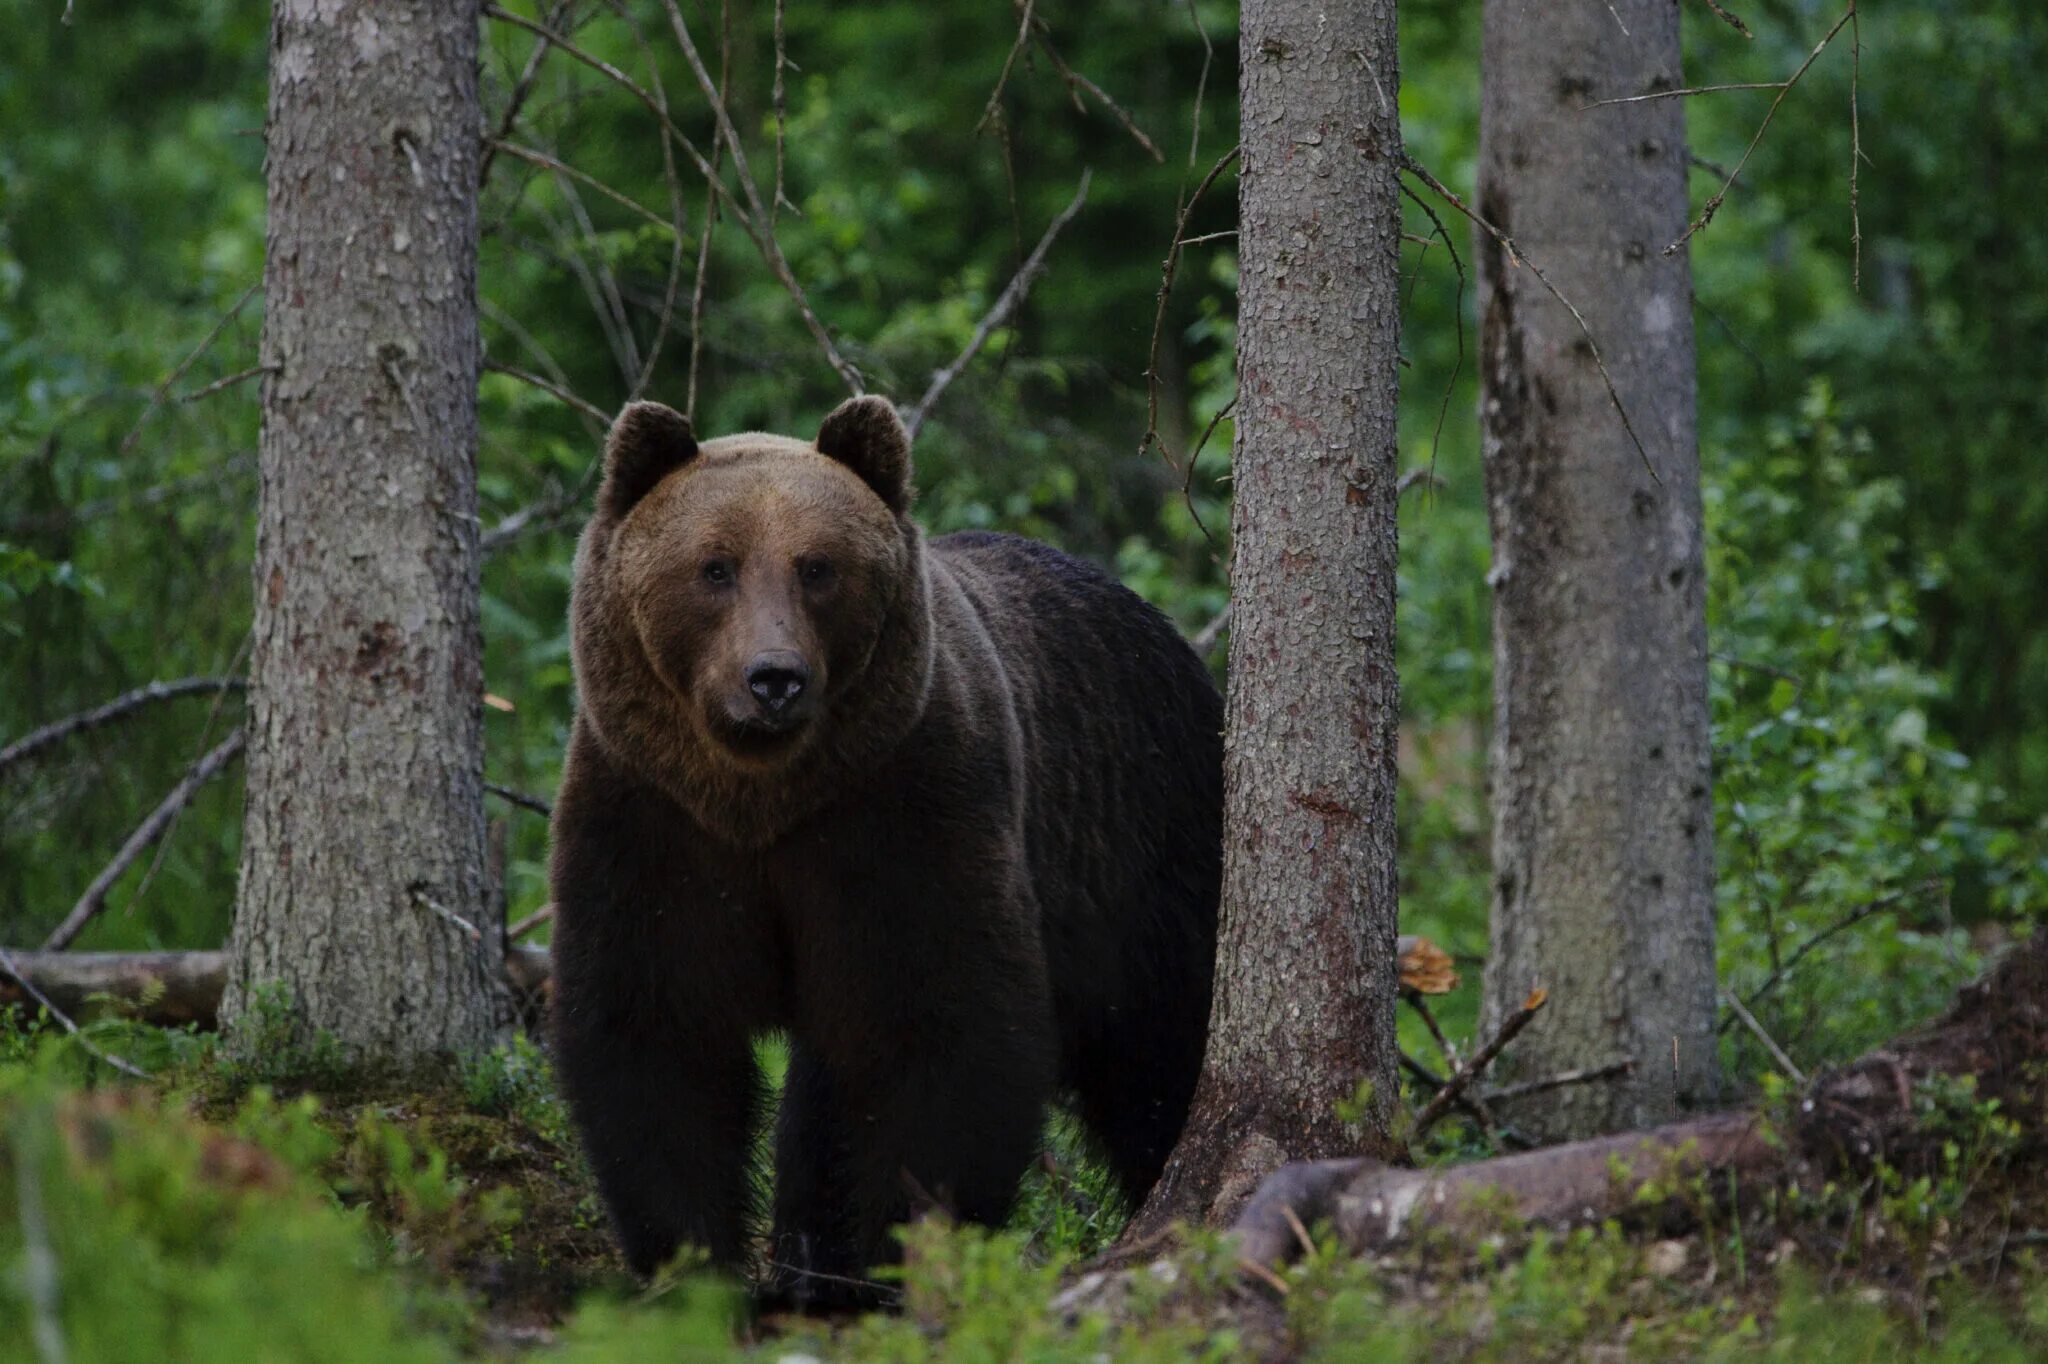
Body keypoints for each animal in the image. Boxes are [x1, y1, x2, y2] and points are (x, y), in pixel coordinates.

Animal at [544, 395, 1212, 1310]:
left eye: (818, 567)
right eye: (714, 566)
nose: (773, 678)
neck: (762, 799)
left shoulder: (905, 813)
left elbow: (938, 1030)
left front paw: (905, 1253)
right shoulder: (651, 820)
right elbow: (656, 1030)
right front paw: (691, 1266)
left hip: (1144, 846)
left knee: (1160, 1051)